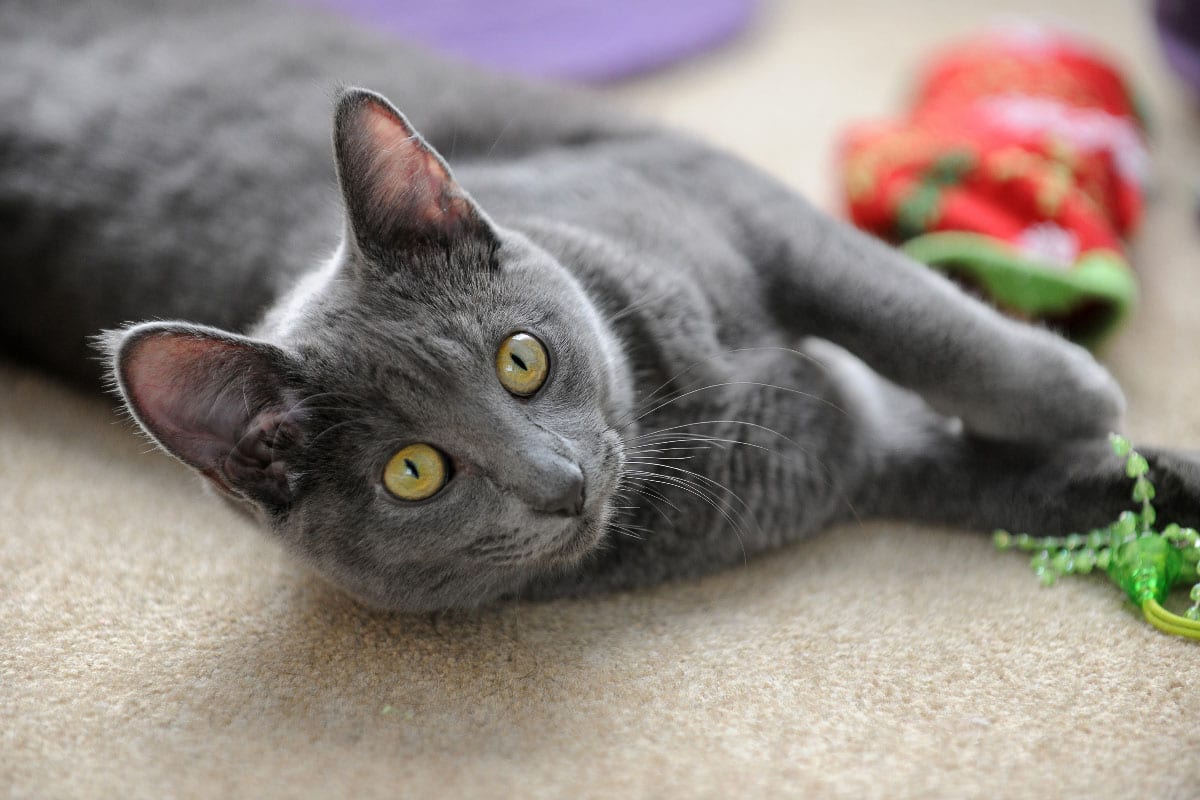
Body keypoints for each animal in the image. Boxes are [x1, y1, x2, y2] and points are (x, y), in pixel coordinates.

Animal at [2, 1, 1200, 614]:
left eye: (521, 358)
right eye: (414, 472)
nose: (560, 480)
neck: (687, 426)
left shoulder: (726, 193)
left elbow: (910, 313)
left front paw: (1079, 393)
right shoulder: (866, 459)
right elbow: (1026, 480)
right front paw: (1117, 445)